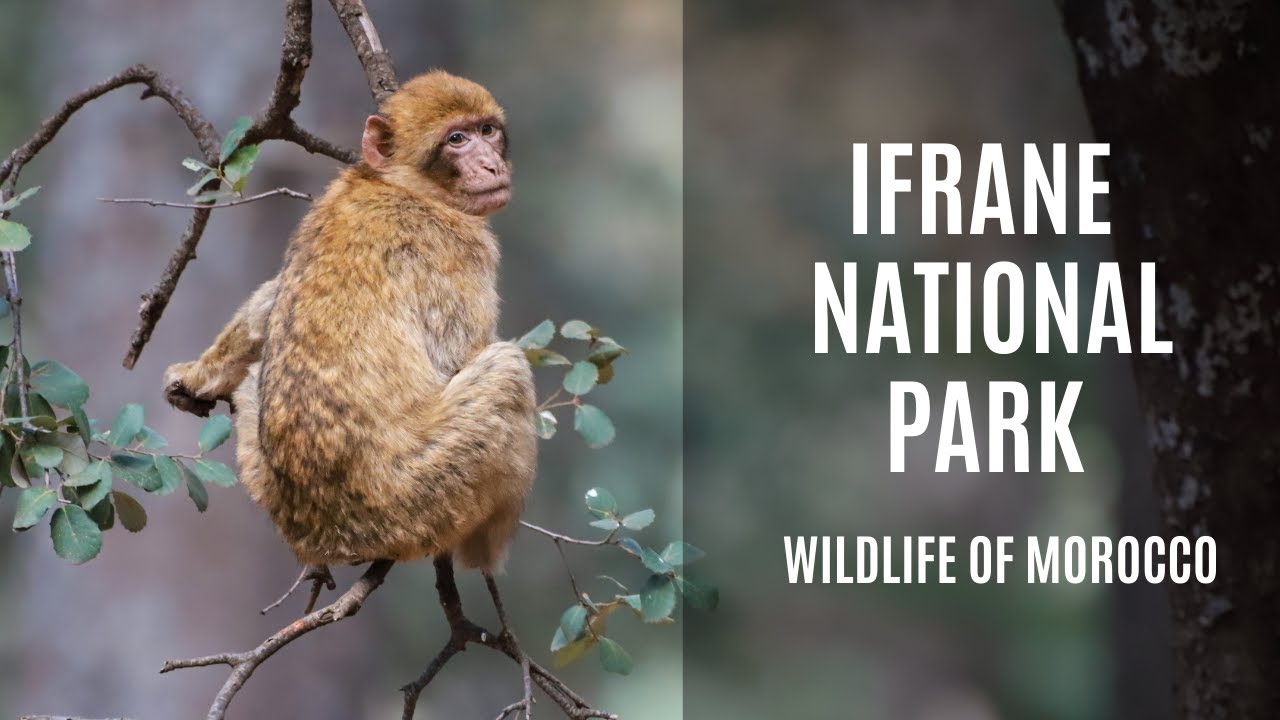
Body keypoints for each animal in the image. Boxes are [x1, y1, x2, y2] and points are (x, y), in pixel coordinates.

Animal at [162, 71, 537, 573]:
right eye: (456, 139)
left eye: (487, 130)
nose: (491, 165)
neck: (398, 185)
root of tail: (330, 538)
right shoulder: (459, 247)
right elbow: (457, 359)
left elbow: (274, 299)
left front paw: (200, 375)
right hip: (420, 498)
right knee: (507, 370)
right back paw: (486, 553)